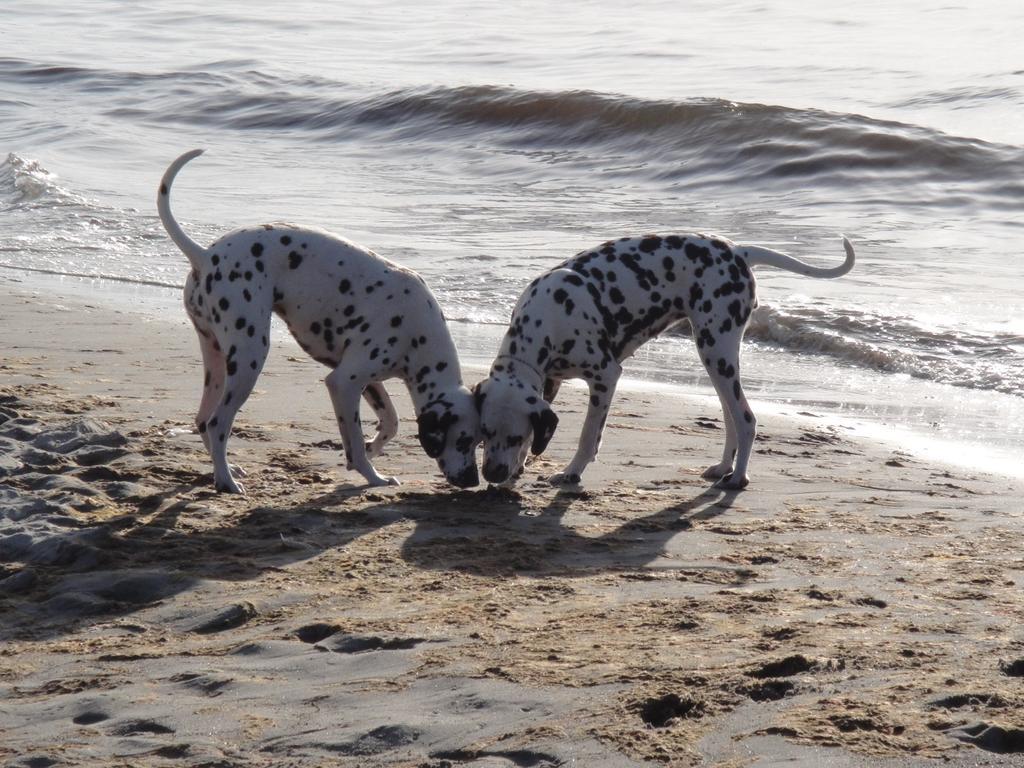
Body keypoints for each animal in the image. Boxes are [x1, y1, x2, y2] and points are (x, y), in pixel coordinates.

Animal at [158, 151, 479, 493]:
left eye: (479, 441)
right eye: (463, 441)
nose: (473, 480)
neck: (418, 332)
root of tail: (204, 256)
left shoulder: (366, 381)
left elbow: (390, 423)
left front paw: (370, 448)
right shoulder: (343, 382)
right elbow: (354, 439)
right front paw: (372, 475)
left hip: (216, 362)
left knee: (203, 421)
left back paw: (227, 469)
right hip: (249, 358)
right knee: (218, 423)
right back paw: (226, 480)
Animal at [479, 231, 856, 489]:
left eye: (514, 435)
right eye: (485, 432)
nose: (491, 473)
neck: (549, 318)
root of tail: (736, 250)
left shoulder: (605, 376)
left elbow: (588, 437)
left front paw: (571, 472)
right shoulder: (549, 381)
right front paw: (519, 469)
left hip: (715, 351)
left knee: (746, 419)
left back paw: (738, 477)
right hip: (716, 358)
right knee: (731, 417)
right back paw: (724, 468)